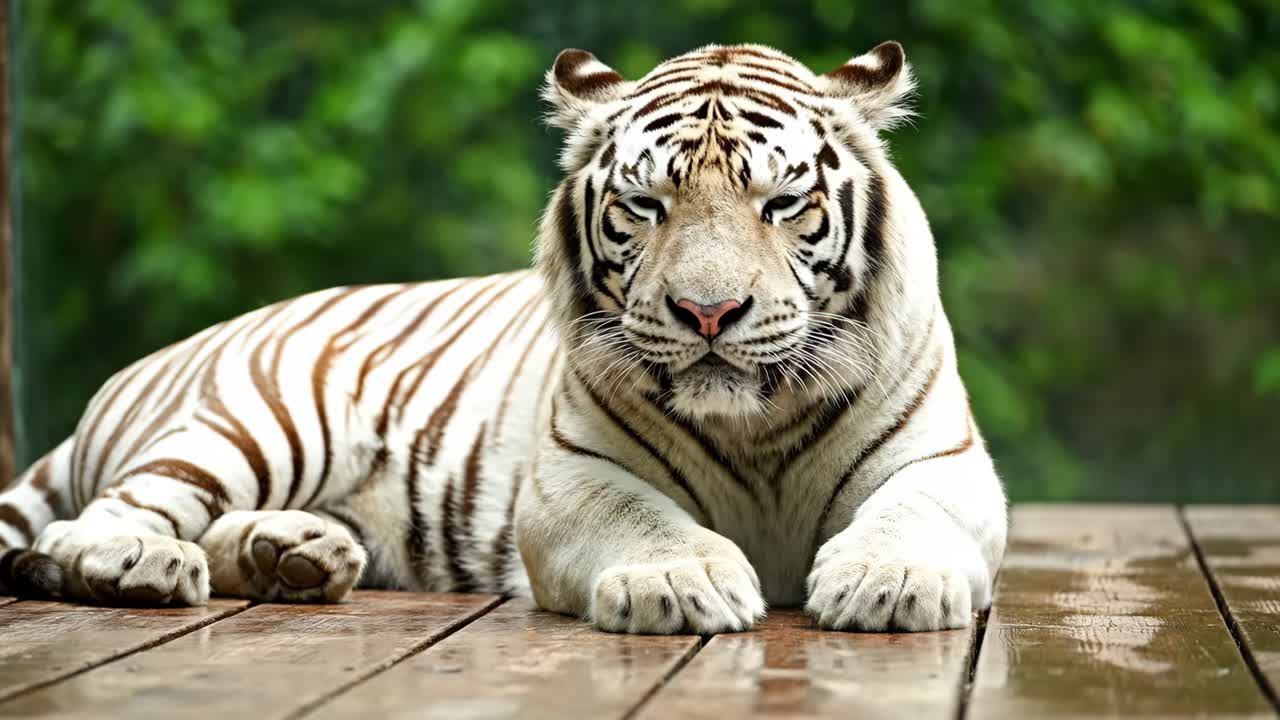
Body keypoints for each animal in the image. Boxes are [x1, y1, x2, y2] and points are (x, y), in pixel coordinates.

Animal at [0, 42, 1007, 634]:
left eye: (782, 202)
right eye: (648, 206)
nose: (708, 313)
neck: (753, 427)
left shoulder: (948, 464)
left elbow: (912, 511)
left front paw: (891, 584)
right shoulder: (570, 478)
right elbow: (642, 519)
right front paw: (678, 581)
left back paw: (291, 558)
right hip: (262, 420)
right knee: (100, 521)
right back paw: (142, 564)